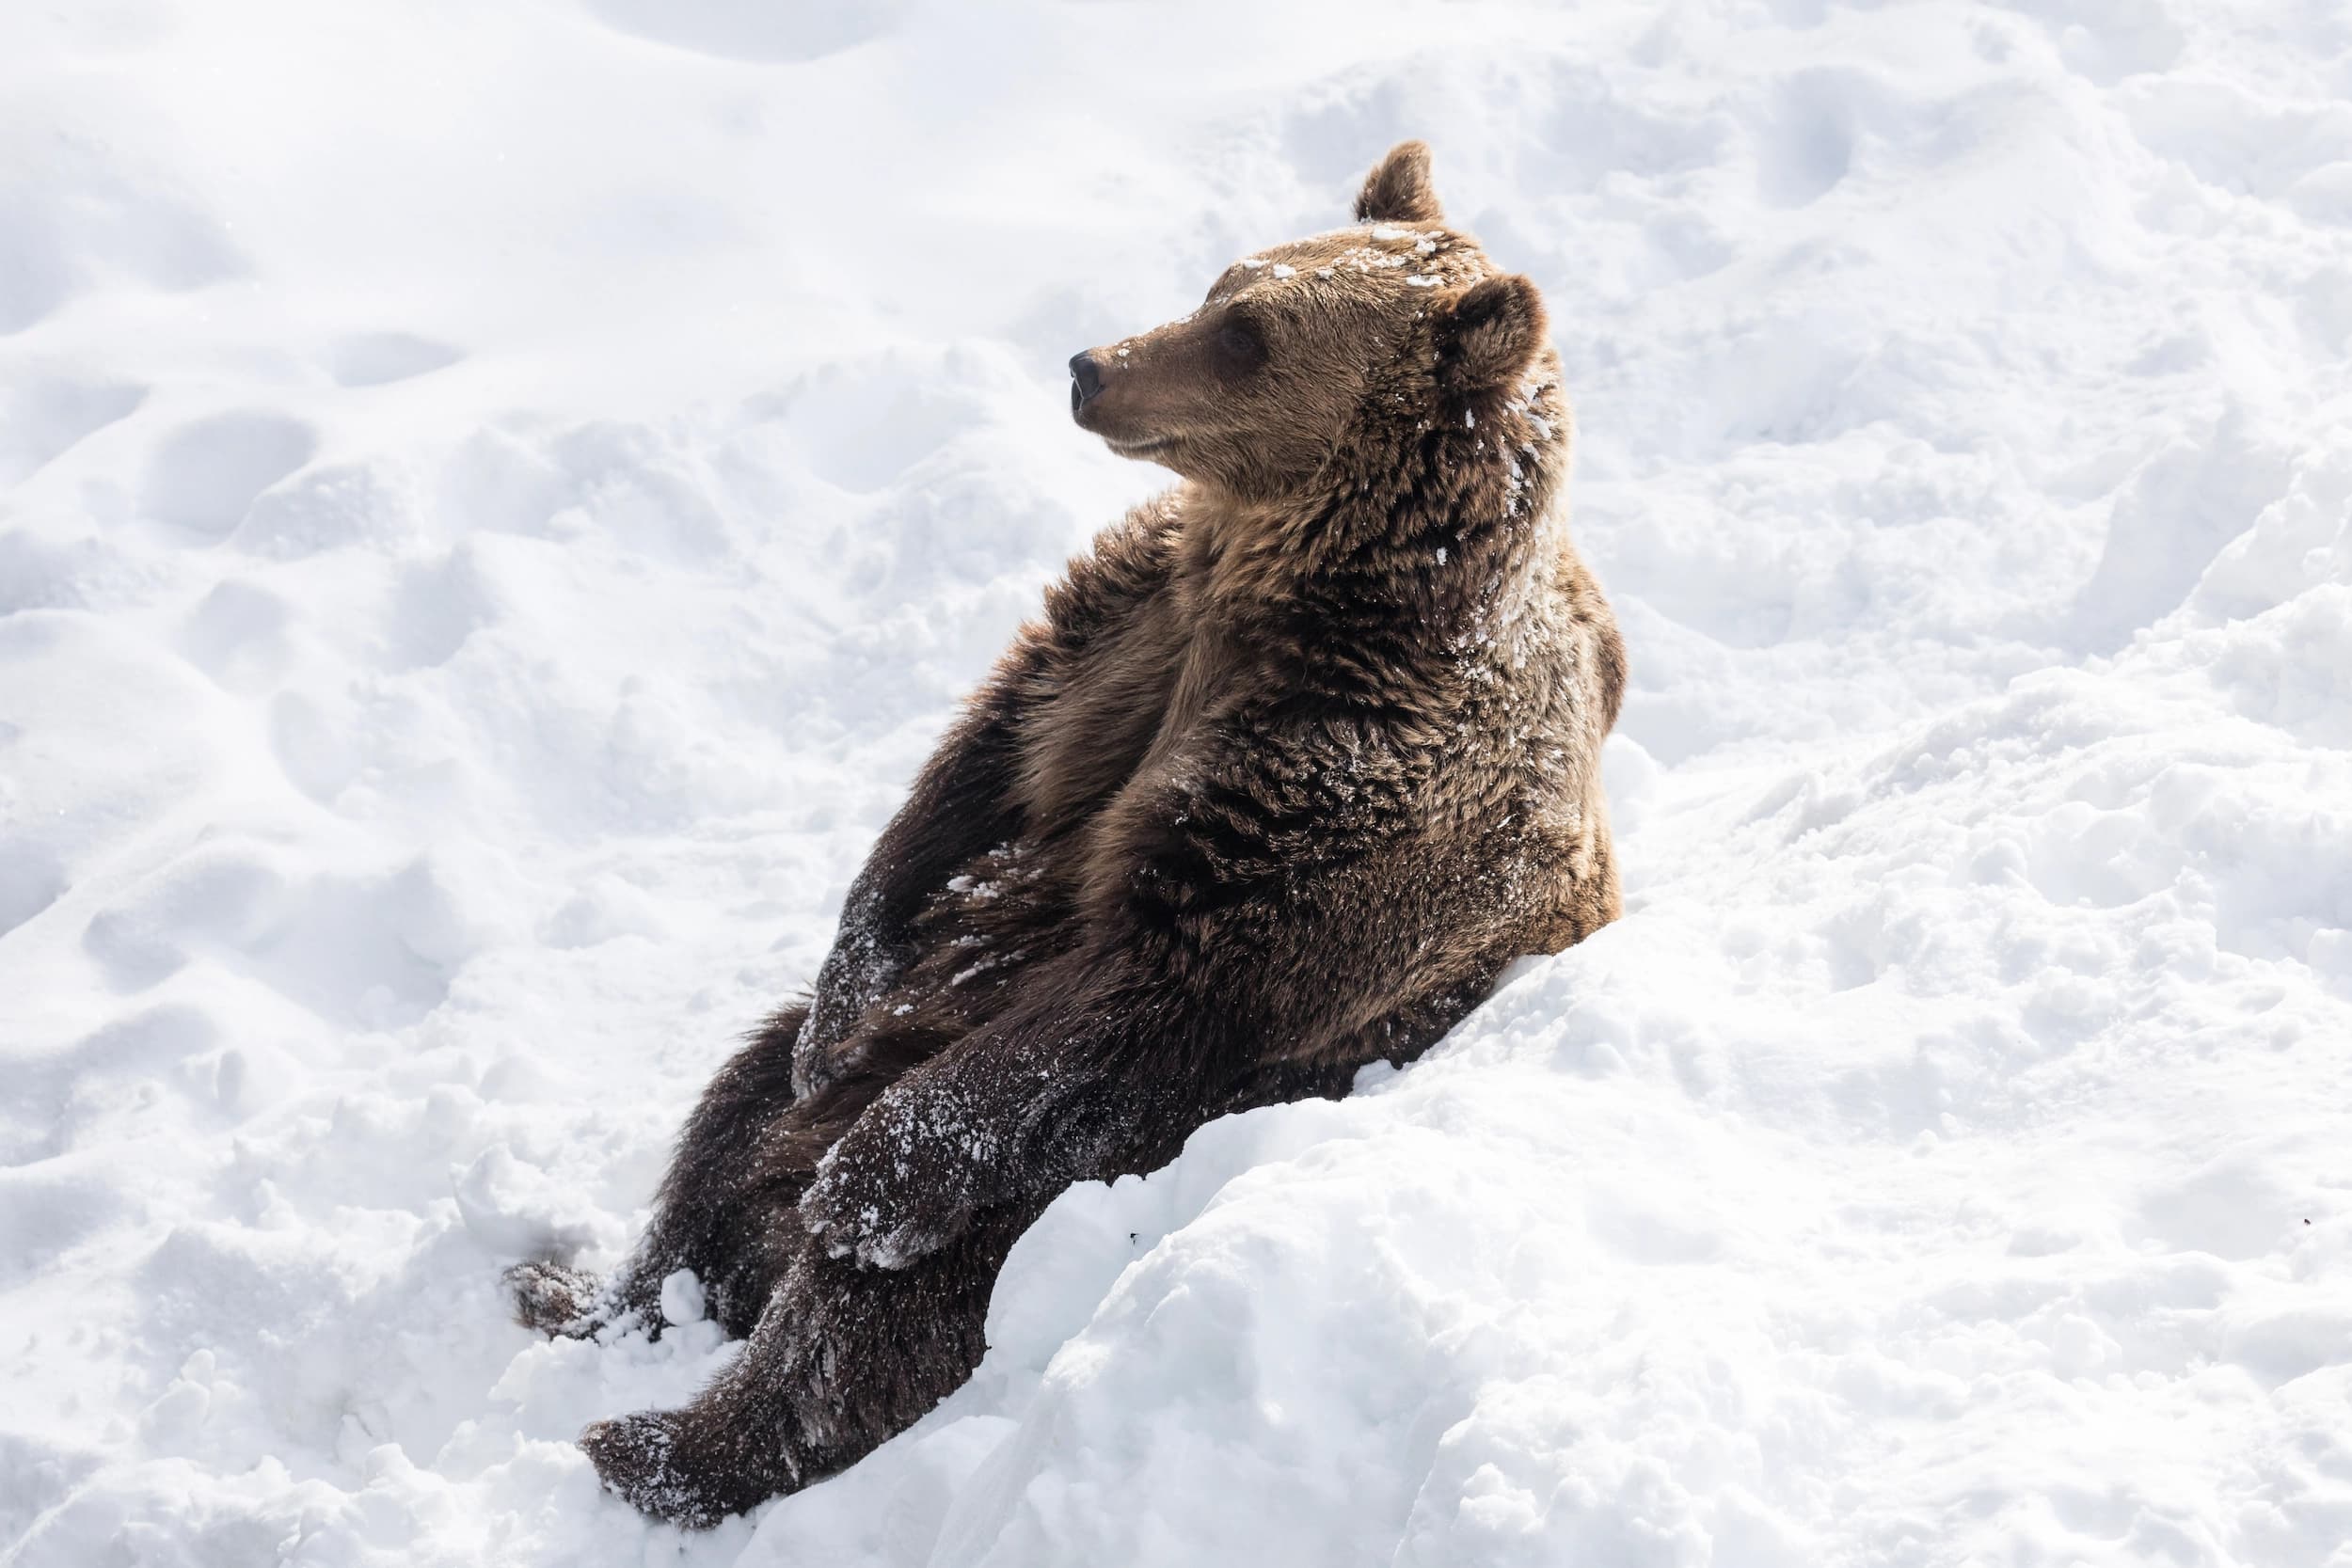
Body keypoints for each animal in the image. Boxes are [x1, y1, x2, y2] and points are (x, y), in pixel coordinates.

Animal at [507, 139, 1627, 1528]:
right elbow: (976, 772)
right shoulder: (1128, 633)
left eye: (1251, 335)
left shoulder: (1339, 795)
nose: (1094, 364)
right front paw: (844, 991)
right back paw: (589, 1292)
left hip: (1038, 1201)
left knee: (851, 1321)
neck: (1299, 595)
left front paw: (862, 1186)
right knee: (732, 1110)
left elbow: (1132, 995)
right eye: (1224, 281)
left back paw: (660, 1430)